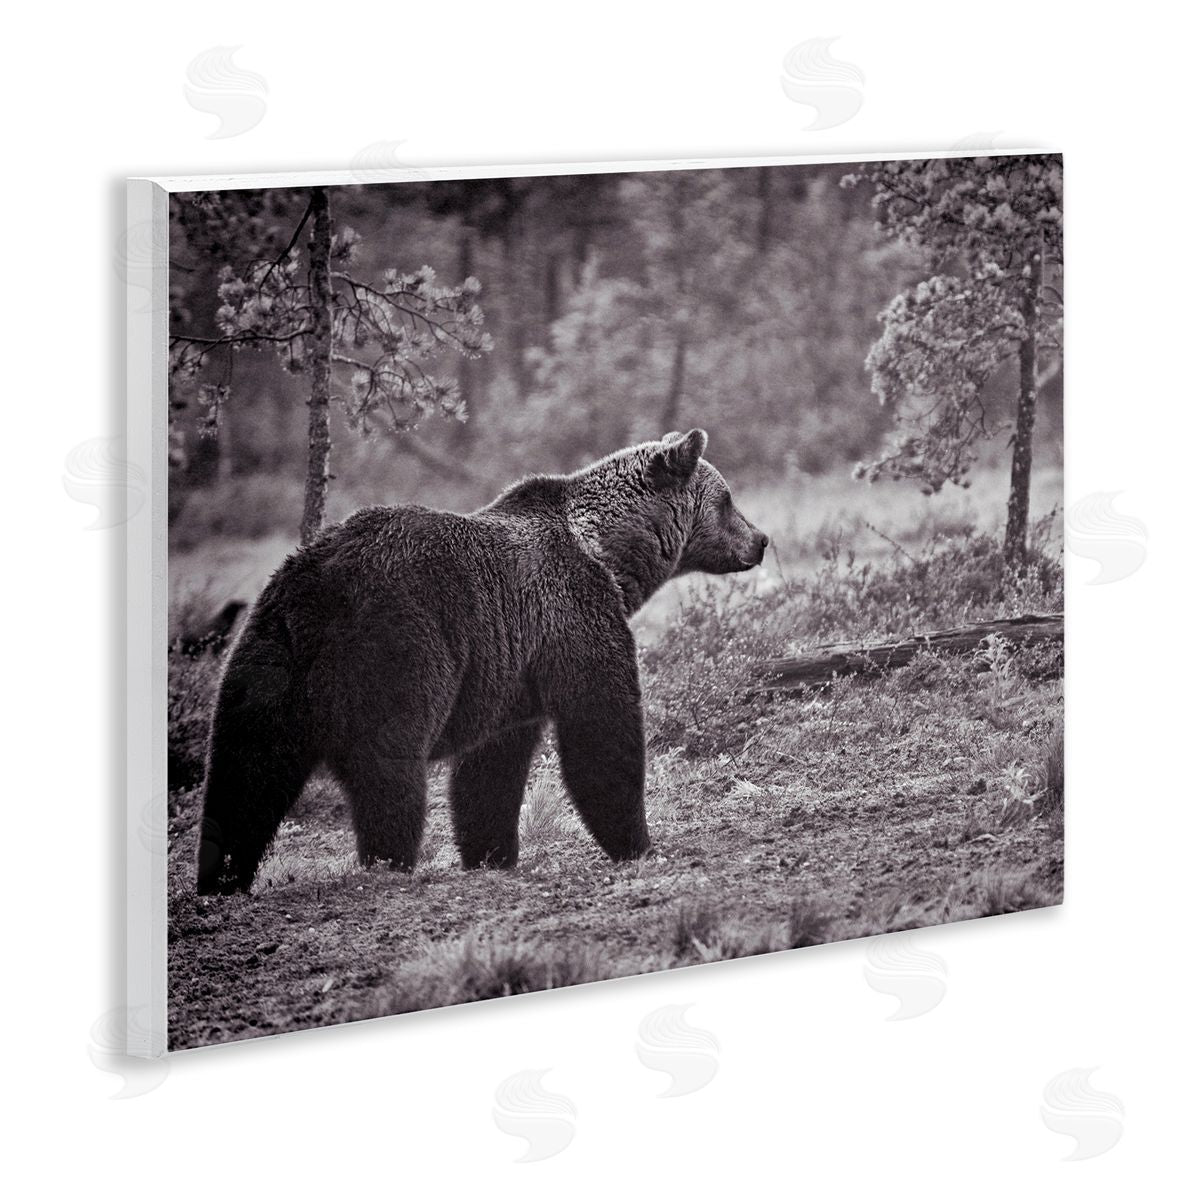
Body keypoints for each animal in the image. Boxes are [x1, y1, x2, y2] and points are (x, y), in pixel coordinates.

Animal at [196, 428, 768, 894]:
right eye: (728, 498)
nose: (761, 539)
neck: (608, 555)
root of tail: (317, 587)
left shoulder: (510, 672)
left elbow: (491, 768)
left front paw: (492, 853)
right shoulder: (573, 616)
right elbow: (601, 728)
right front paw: (638, 843)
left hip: (266, 657)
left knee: (244, 772)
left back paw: (220, 878)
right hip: (397, 645)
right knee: (388, 767)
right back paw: (389, 862)